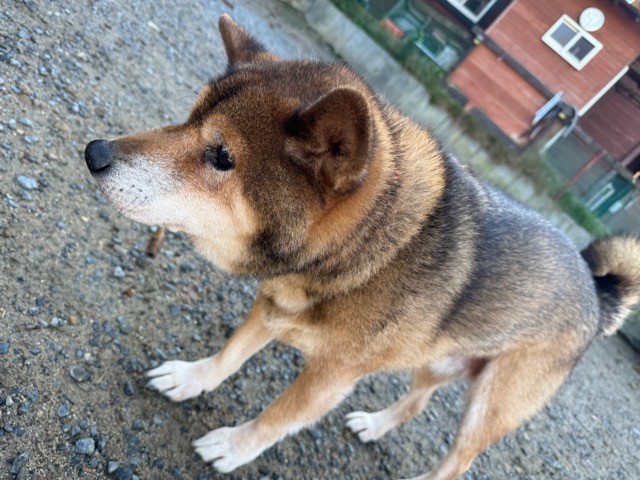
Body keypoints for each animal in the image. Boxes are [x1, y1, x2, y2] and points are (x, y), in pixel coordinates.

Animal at [84, 15, 640, 479]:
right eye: (188, 116)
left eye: (221, 156)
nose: (94, 152)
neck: (365, 251)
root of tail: (598, 291)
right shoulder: (272, 307)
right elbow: (230, 355)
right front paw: (191, 378)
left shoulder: (330, 376)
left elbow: (276, 418)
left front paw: (234, 446)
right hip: (436, 360)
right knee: (416, 403)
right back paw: (375, 424)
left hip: (490, 407)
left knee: (456, 464)